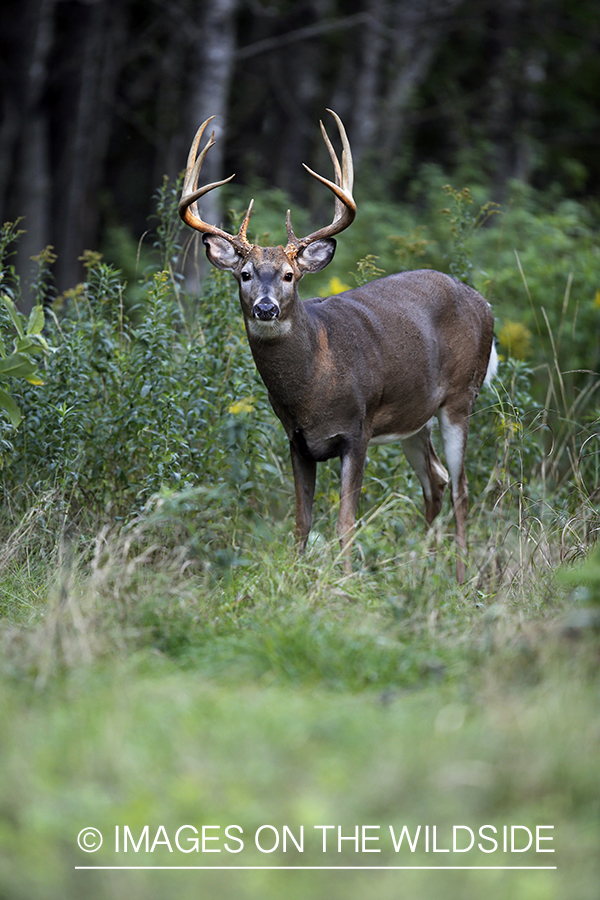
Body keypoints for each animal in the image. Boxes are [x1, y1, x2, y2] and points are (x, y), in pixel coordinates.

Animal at [178, 109, 496, 584]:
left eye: (289, 275)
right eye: (245, 274)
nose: (266, 308)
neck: (313, 386)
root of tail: (484, 303)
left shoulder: (356, 430)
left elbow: (346, 520)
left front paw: (344, 583)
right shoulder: (296, 441)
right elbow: (301, 520)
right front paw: (297, 577)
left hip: (461, 397)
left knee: (461, 489)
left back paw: (458, 579)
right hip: (414, 418)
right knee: (435, 481)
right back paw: (421, 572)